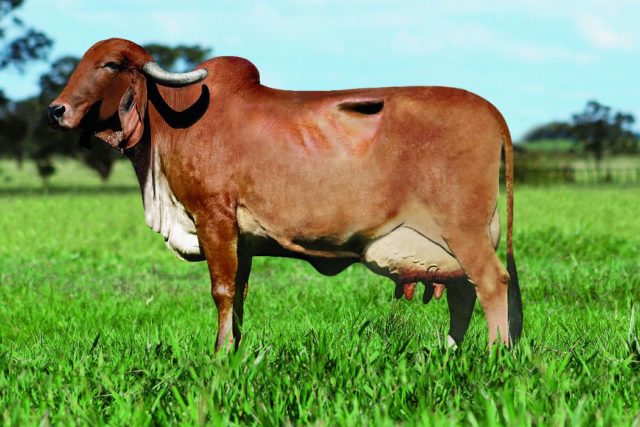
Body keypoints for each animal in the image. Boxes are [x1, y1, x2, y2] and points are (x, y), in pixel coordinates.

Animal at [48, 38, 522, 352]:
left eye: (111, 64)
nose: (57, 110)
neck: (173, 120)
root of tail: (491, 110)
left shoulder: (214, 219)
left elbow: (222, 291)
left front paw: (218, 355)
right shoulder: (242, 241)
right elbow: (239, 296)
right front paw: (234, 351)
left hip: (463, 231)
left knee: (492, 283)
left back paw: (494, 354)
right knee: (463, 294)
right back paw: (449, 353)